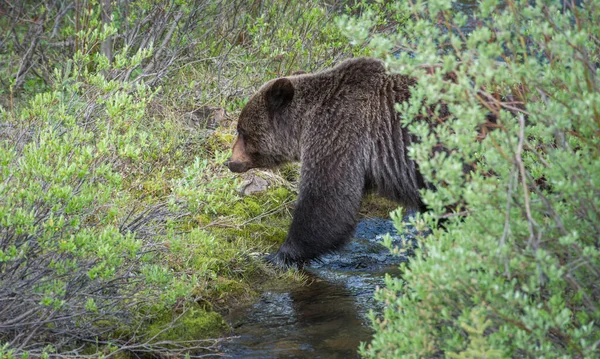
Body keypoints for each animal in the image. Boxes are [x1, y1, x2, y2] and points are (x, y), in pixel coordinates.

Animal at [225, 57, 432, 268]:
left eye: (241, 130)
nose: (230, 162)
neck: (302, 127)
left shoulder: (339, 135)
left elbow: (327, 200)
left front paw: (278, 255)